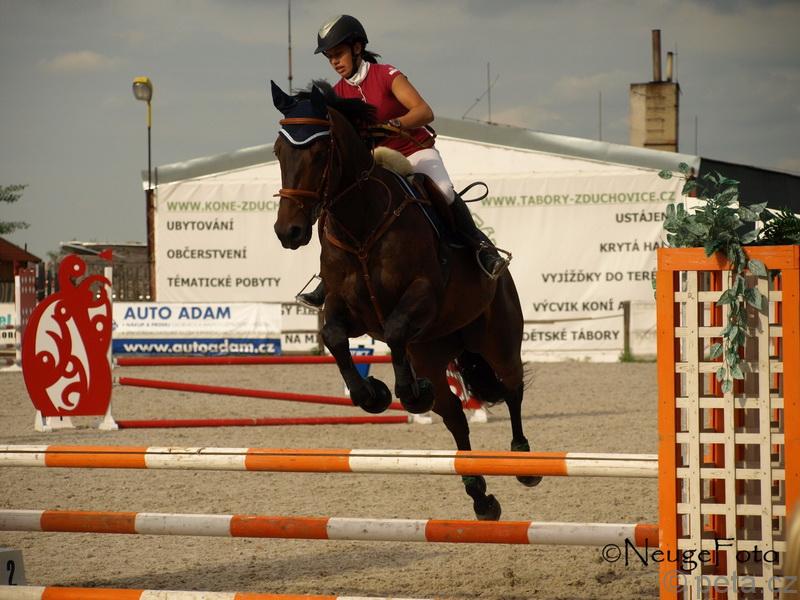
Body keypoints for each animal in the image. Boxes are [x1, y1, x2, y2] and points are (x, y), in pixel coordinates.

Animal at [270, 81, 541, 520]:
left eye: (319, 152)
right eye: (279, 151)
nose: (288, 232)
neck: (361, 222)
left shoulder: (422, 295)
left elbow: (395, 328)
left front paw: (409, 394)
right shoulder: (347, 310)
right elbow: (333, 337)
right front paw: (373, 395)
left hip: (497, 337)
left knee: (512, 387)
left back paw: (523, 461)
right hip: (431, 350)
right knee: (455, 418)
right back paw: (480, 495)